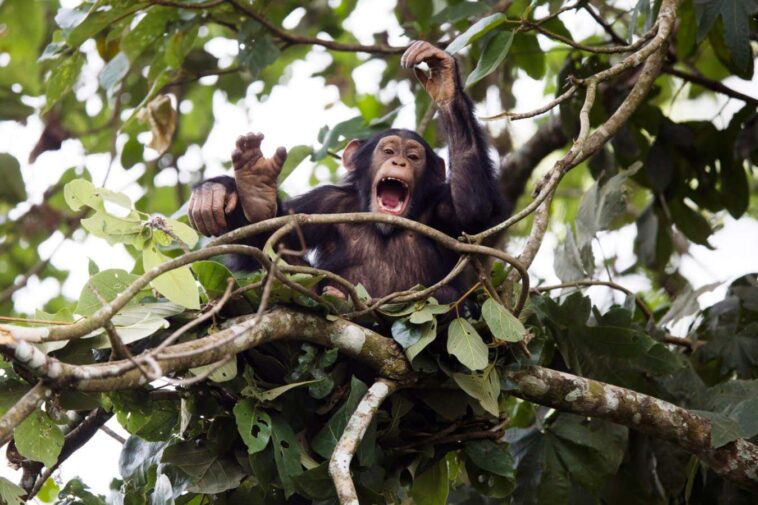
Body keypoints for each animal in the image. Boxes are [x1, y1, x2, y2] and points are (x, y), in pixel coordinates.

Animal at [187, 41, 509, 303]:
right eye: (388, 151)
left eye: (413, 156)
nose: (400, 162)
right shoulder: (324, 204)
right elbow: (274, 245)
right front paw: (249, 192)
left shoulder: (440, 207)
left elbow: (473, 211)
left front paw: (445, 80)